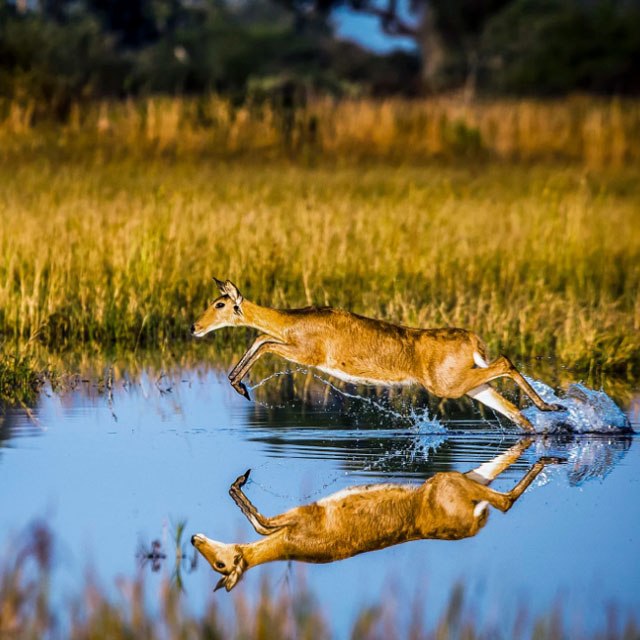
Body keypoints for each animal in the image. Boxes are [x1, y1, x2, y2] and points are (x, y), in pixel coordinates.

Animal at [190, 278, 560, 432]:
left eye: (219, 304)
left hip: (450, 386)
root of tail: (471, 338)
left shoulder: (305, 355)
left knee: (506, 362)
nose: (194, 326)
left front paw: (241, 387)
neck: (296, 320)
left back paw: (552, 408)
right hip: (469, 386)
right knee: (513, 411)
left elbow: (264, 342)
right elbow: (259, 338)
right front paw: (239, 384)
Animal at [191, 440, 564, 592]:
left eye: (220, 564)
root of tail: (474, 524)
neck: (294, 546)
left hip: (447, 481)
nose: (194, 537)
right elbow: (262, 524)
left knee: (504, 501)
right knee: (501, 495)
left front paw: (241, 478)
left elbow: (261, 522)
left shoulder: (304, 514)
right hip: (464, 483)